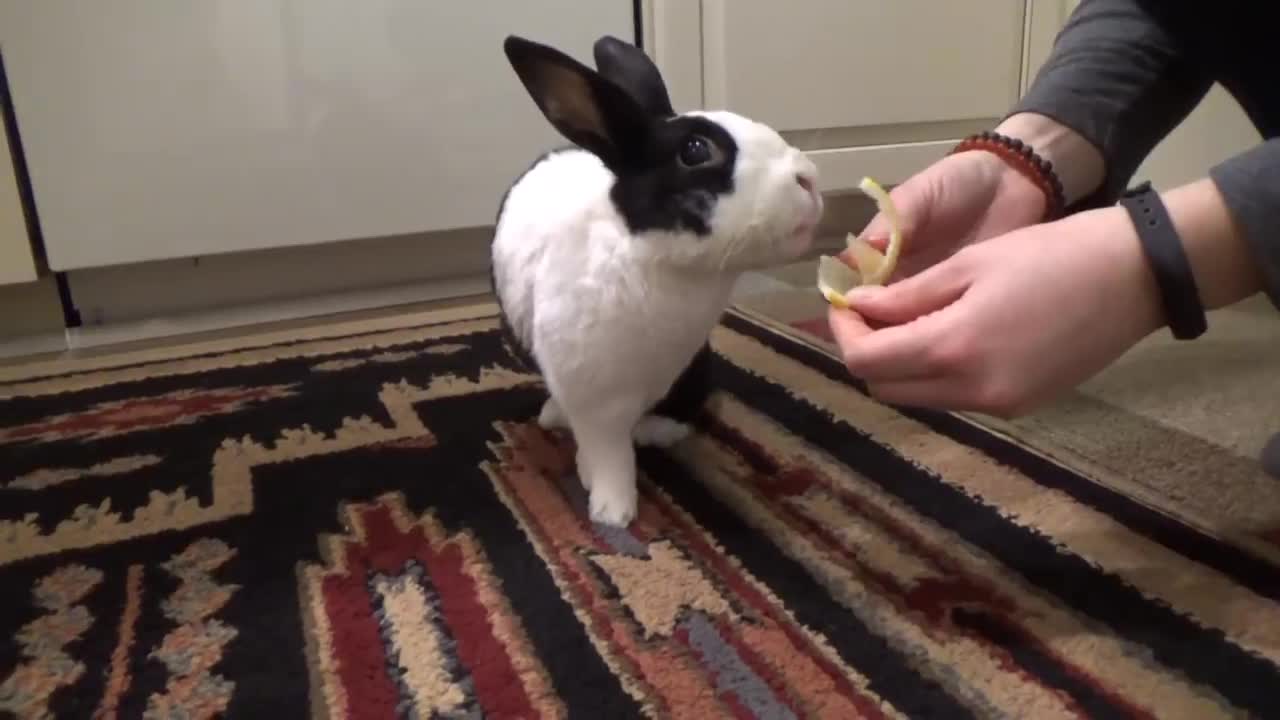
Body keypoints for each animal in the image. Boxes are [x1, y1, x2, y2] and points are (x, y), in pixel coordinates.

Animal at [488, 33, 819, 525]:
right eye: (696, 150)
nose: (808, 179)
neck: (658, 260)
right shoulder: (592, 396)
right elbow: (609, 453)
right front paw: (613, 511)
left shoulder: (664, 374)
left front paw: (640, 453)